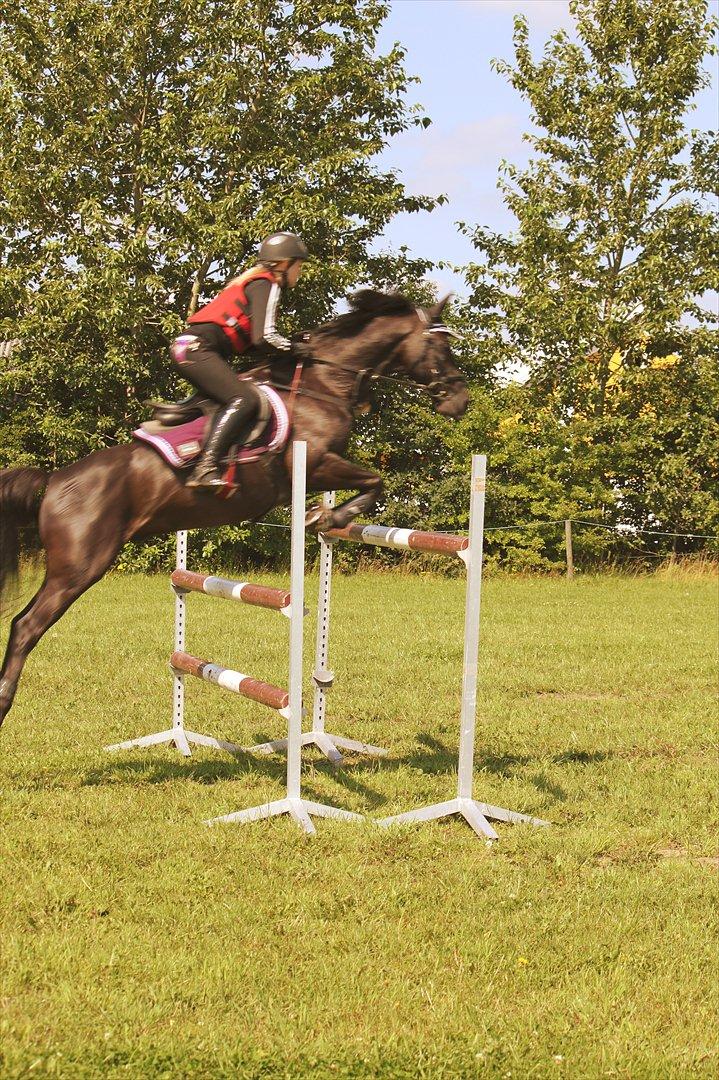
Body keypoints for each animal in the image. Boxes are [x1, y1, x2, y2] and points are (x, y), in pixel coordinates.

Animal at [0, 290, 468, 727]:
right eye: (441, 346)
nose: (460, 399)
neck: (322, 384)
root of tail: (55, 481)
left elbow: (372, 482)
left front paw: (325, 516)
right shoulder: (314, 462)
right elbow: (375, 481)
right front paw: (327, 516)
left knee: (22, 621)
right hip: (80, 567)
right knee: (25, 625)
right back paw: (4, 700)